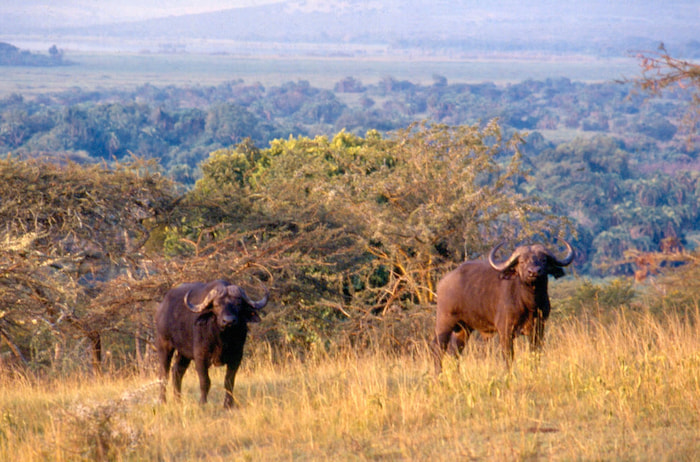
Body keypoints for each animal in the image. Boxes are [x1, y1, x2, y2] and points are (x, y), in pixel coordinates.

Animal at [155, 280, 269, 408]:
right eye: (217, 305)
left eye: (238, 304)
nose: (228, 321)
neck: (222, 339)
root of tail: (162, 306)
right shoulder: (200, 357)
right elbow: (205, 381)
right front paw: (202, 403)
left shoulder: (237, 357)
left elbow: (229, 381)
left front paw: (228, 404)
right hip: (164, 344)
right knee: (163, 374)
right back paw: (162, 401)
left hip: (184, 353)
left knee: (177, 371)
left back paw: (178, 400)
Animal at [432, 241, 574, 372]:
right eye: (522, 261)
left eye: (543, 260)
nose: (534, 272)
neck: (530, 303)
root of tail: (443, 281)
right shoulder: (505, 330)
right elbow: (508, 357)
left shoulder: (538, 329)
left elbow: (535, 354)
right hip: (444, 322)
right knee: (438, 348)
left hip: (464, 328)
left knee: (455, 352)